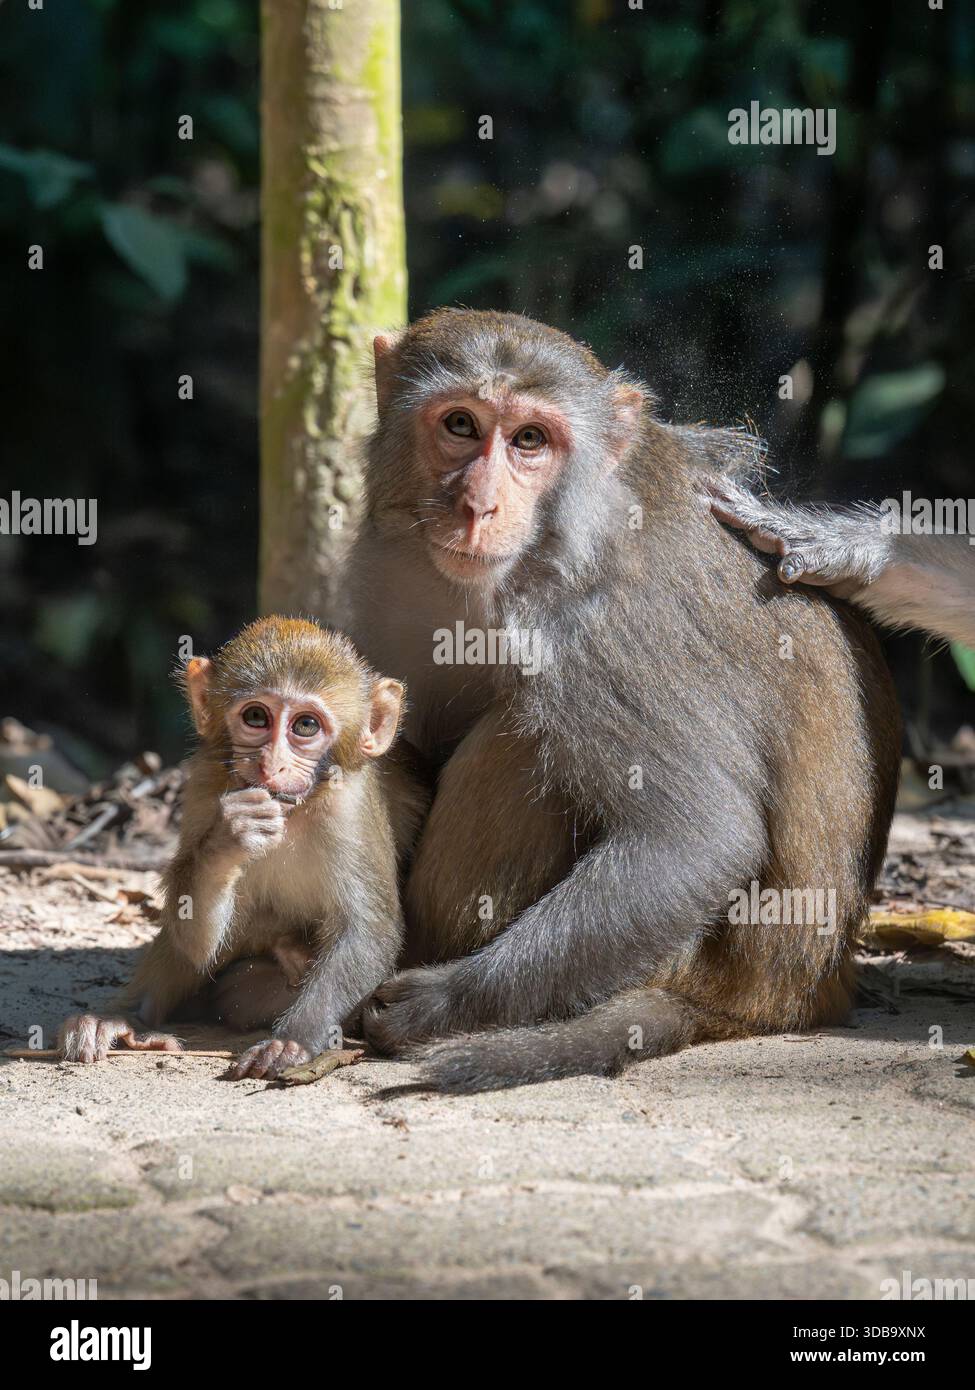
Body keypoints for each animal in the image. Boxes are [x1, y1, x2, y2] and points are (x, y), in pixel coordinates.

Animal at [58, 617, 429, 1080]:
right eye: (256, 717)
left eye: (305, 726)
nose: (270, 764)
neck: (296, 810)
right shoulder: (205, 783)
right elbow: (195, 933)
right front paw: (228, 839)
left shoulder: (352, 805)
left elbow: (368, 931)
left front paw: (293, 1041)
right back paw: (123, 1018)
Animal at [346, 308, 902, 1093]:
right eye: (459, 424)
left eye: (529, 441)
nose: (477, 506)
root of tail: (785, 996)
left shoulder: (603, 630)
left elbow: (697, 838)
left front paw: (441, 1004)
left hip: (682, 960)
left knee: (527, 734)